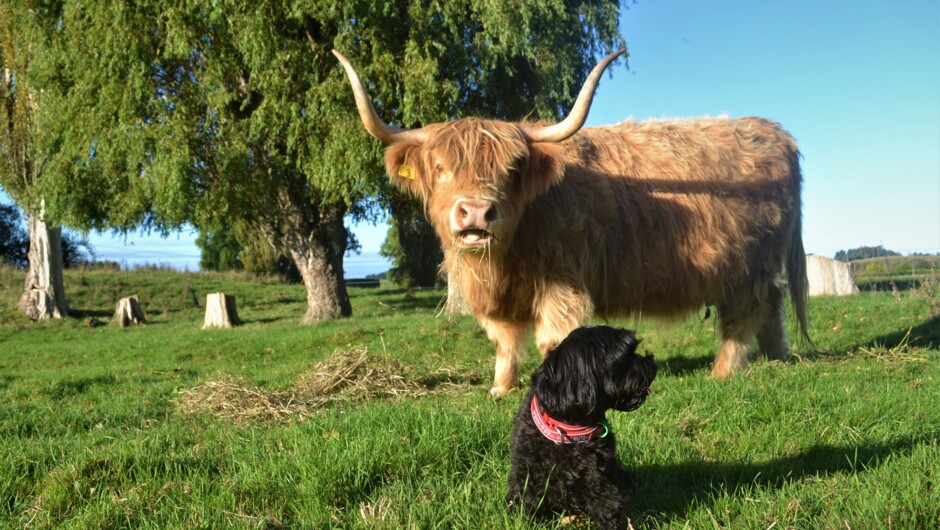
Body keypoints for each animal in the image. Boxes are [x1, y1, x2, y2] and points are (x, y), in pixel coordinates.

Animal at [334, 49, 810, 396]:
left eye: (513, 169)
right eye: (439, 167)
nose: (477, 212)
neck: (500, 263)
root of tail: (776, 132)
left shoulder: (560, 282)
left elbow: (553, 338)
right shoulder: (501, 300)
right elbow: (504, 343)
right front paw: (499, 389)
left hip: (747, 268)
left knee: (744, 317)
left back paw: (723, 372)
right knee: (773, 306)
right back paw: (778, 357)